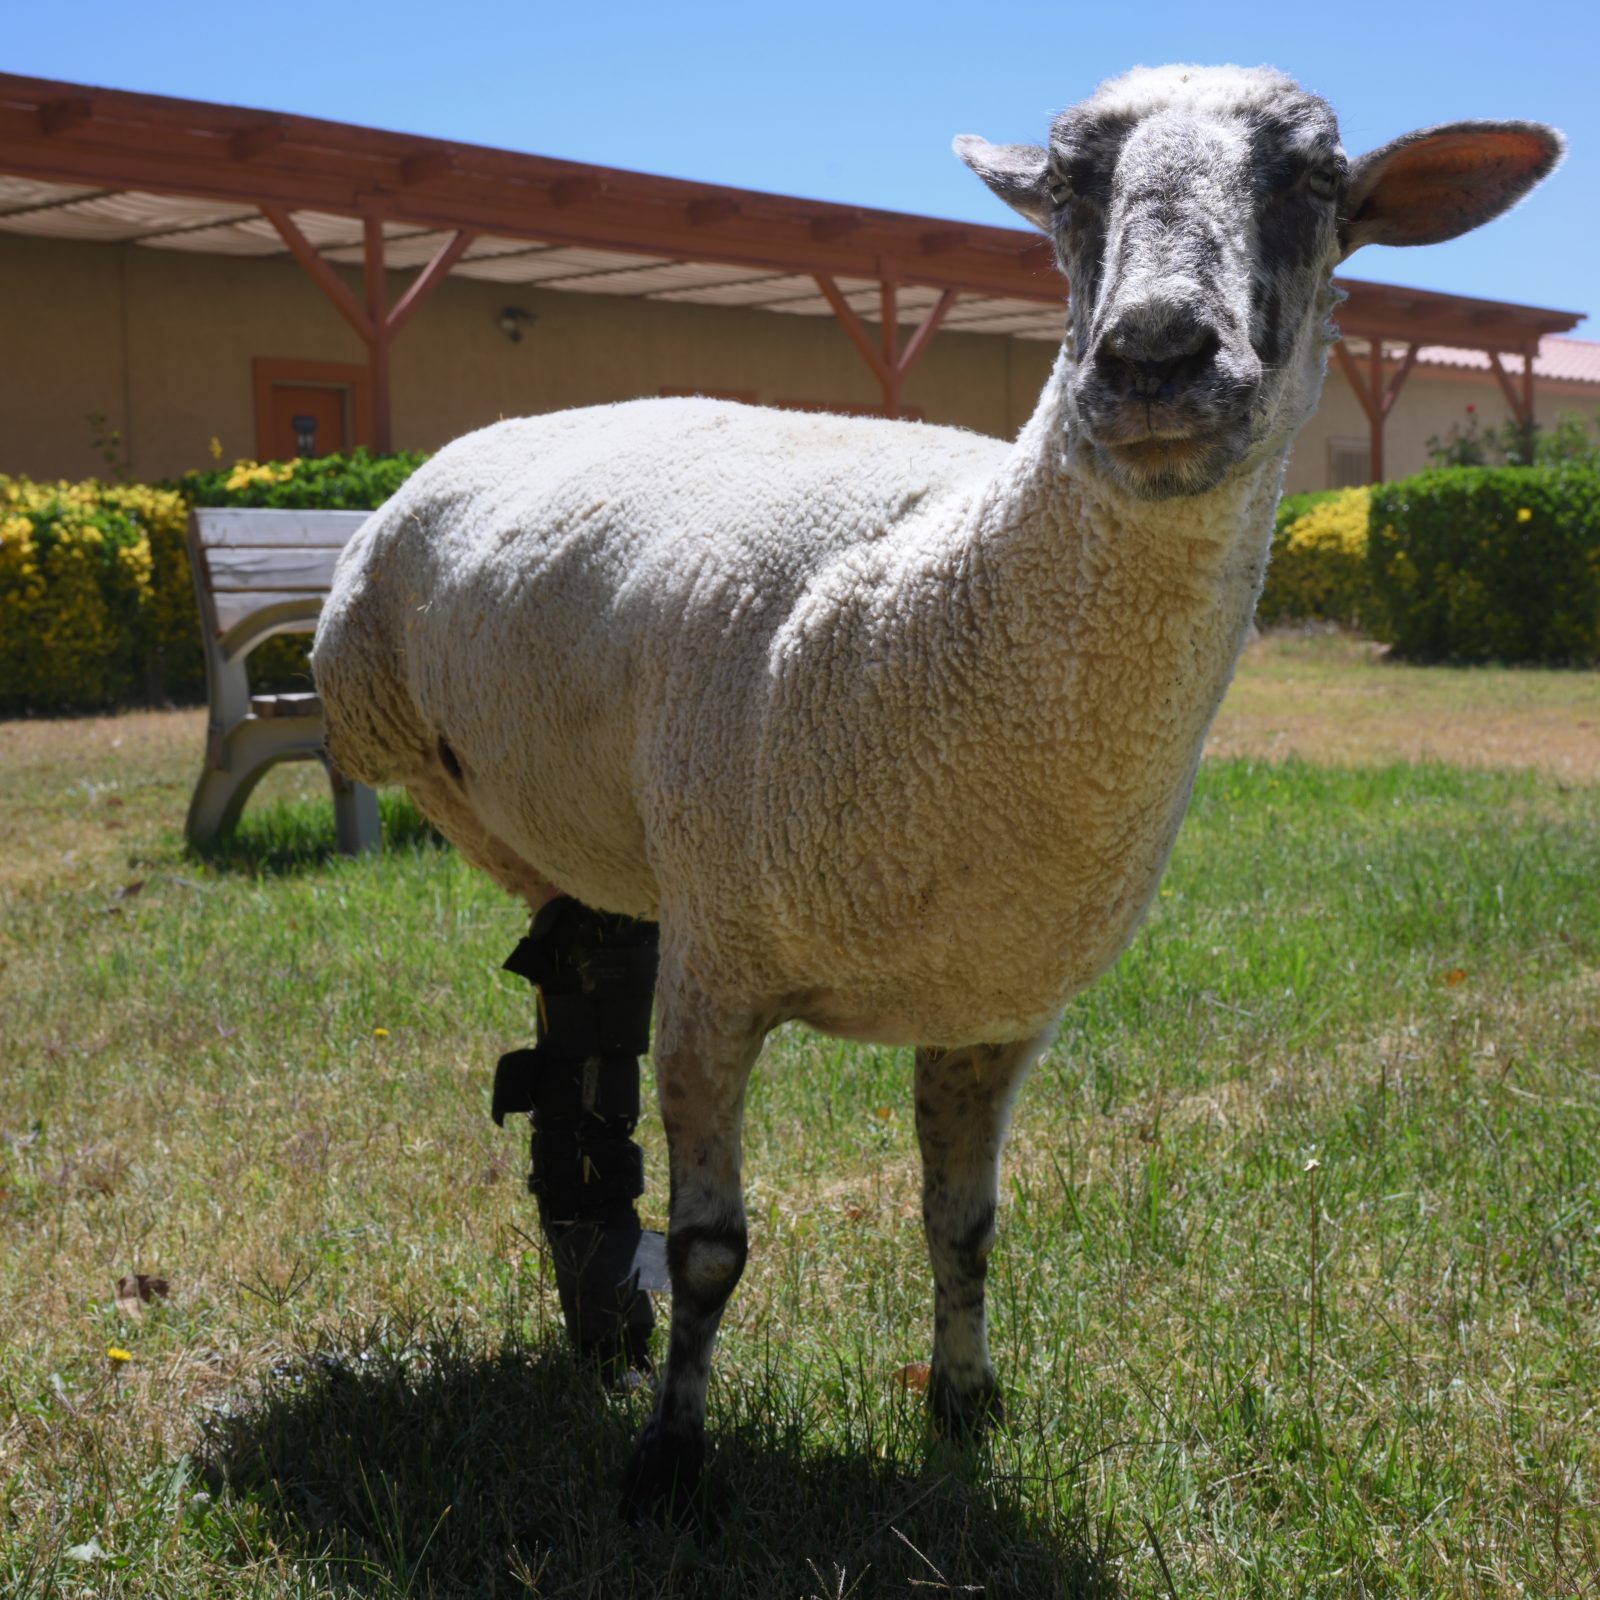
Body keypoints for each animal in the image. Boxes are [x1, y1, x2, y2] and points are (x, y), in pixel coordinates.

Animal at [312, 65, 1561, 1510]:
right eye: (1067, 183)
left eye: (1314, 179)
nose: (1150, 357)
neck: (940, 601)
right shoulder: (720, 968)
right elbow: (714, 1248)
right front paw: (672, 1459)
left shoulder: (993, 1007)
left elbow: (963, 1226)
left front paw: (963, 1405)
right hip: (470, 774)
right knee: (579, 1025)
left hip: (615, 847)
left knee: (579, 1001)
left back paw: (597, 1287)